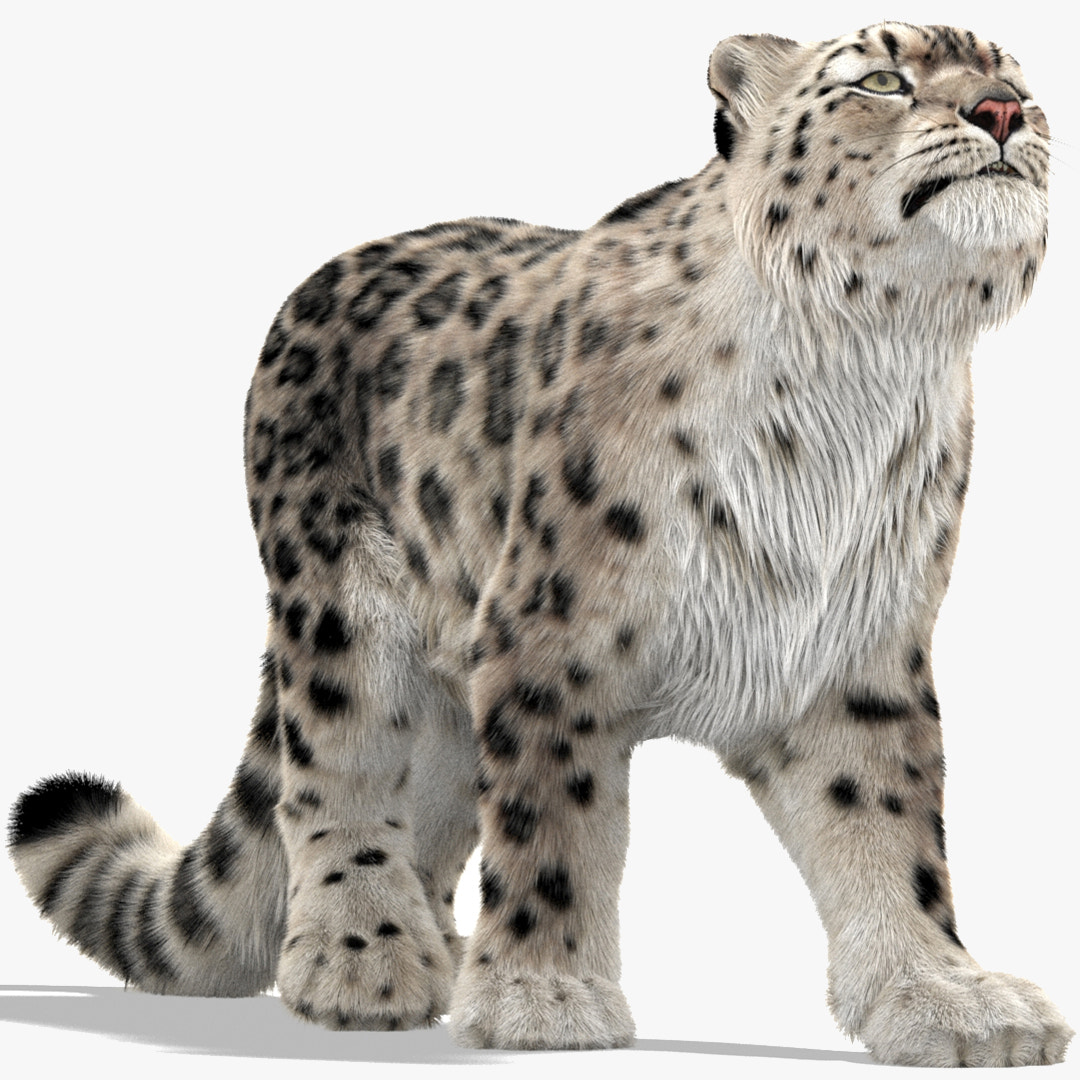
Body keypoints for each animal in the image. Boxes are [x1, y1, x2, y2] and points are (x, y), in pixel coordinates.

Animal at [8, 21, 1073, 1066]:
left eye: (1018, 78)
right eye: (883, 78)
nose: (1002, 111)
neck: (856, 376)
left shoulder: (855, 651)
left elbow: (889, 824)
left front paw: (948, 998)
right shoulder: (552, 642)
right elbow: (553, 826)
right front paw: (543, 997)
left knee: (431, 806)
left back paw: (436, 950)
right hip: (343, 612)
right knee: (332, 776)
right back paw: (361, 960)